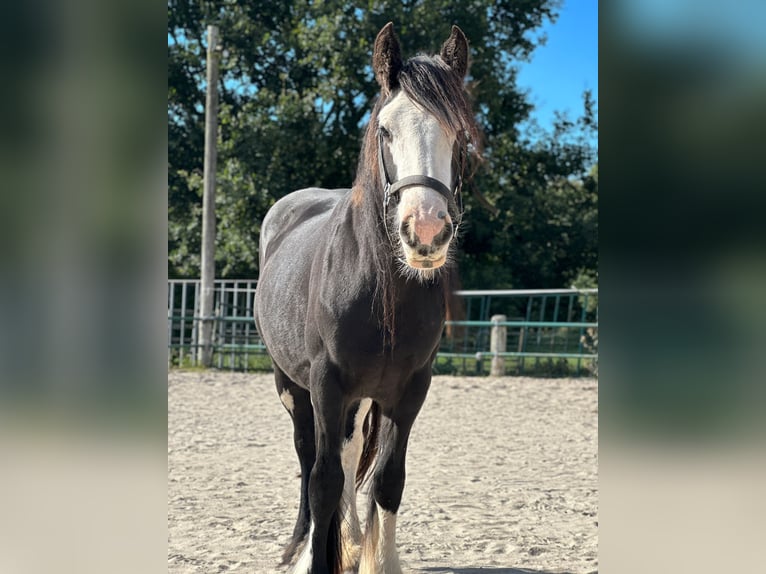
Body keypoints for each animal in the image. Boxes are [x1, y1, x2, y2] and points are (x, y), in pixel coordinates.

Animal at [255, 22, 476, 574]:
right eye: (385, 130)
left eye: (460, 136)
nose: (426, 231)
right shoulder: (326, 385)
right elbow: (323, 479)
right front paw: (317, 556)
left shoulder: (410, 390)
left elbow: (386, 480)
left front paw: (373, 555)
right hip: (291, 386)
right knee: (309, 456)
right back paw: (301, 545)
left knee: (351, 453)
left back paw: (351, 542)